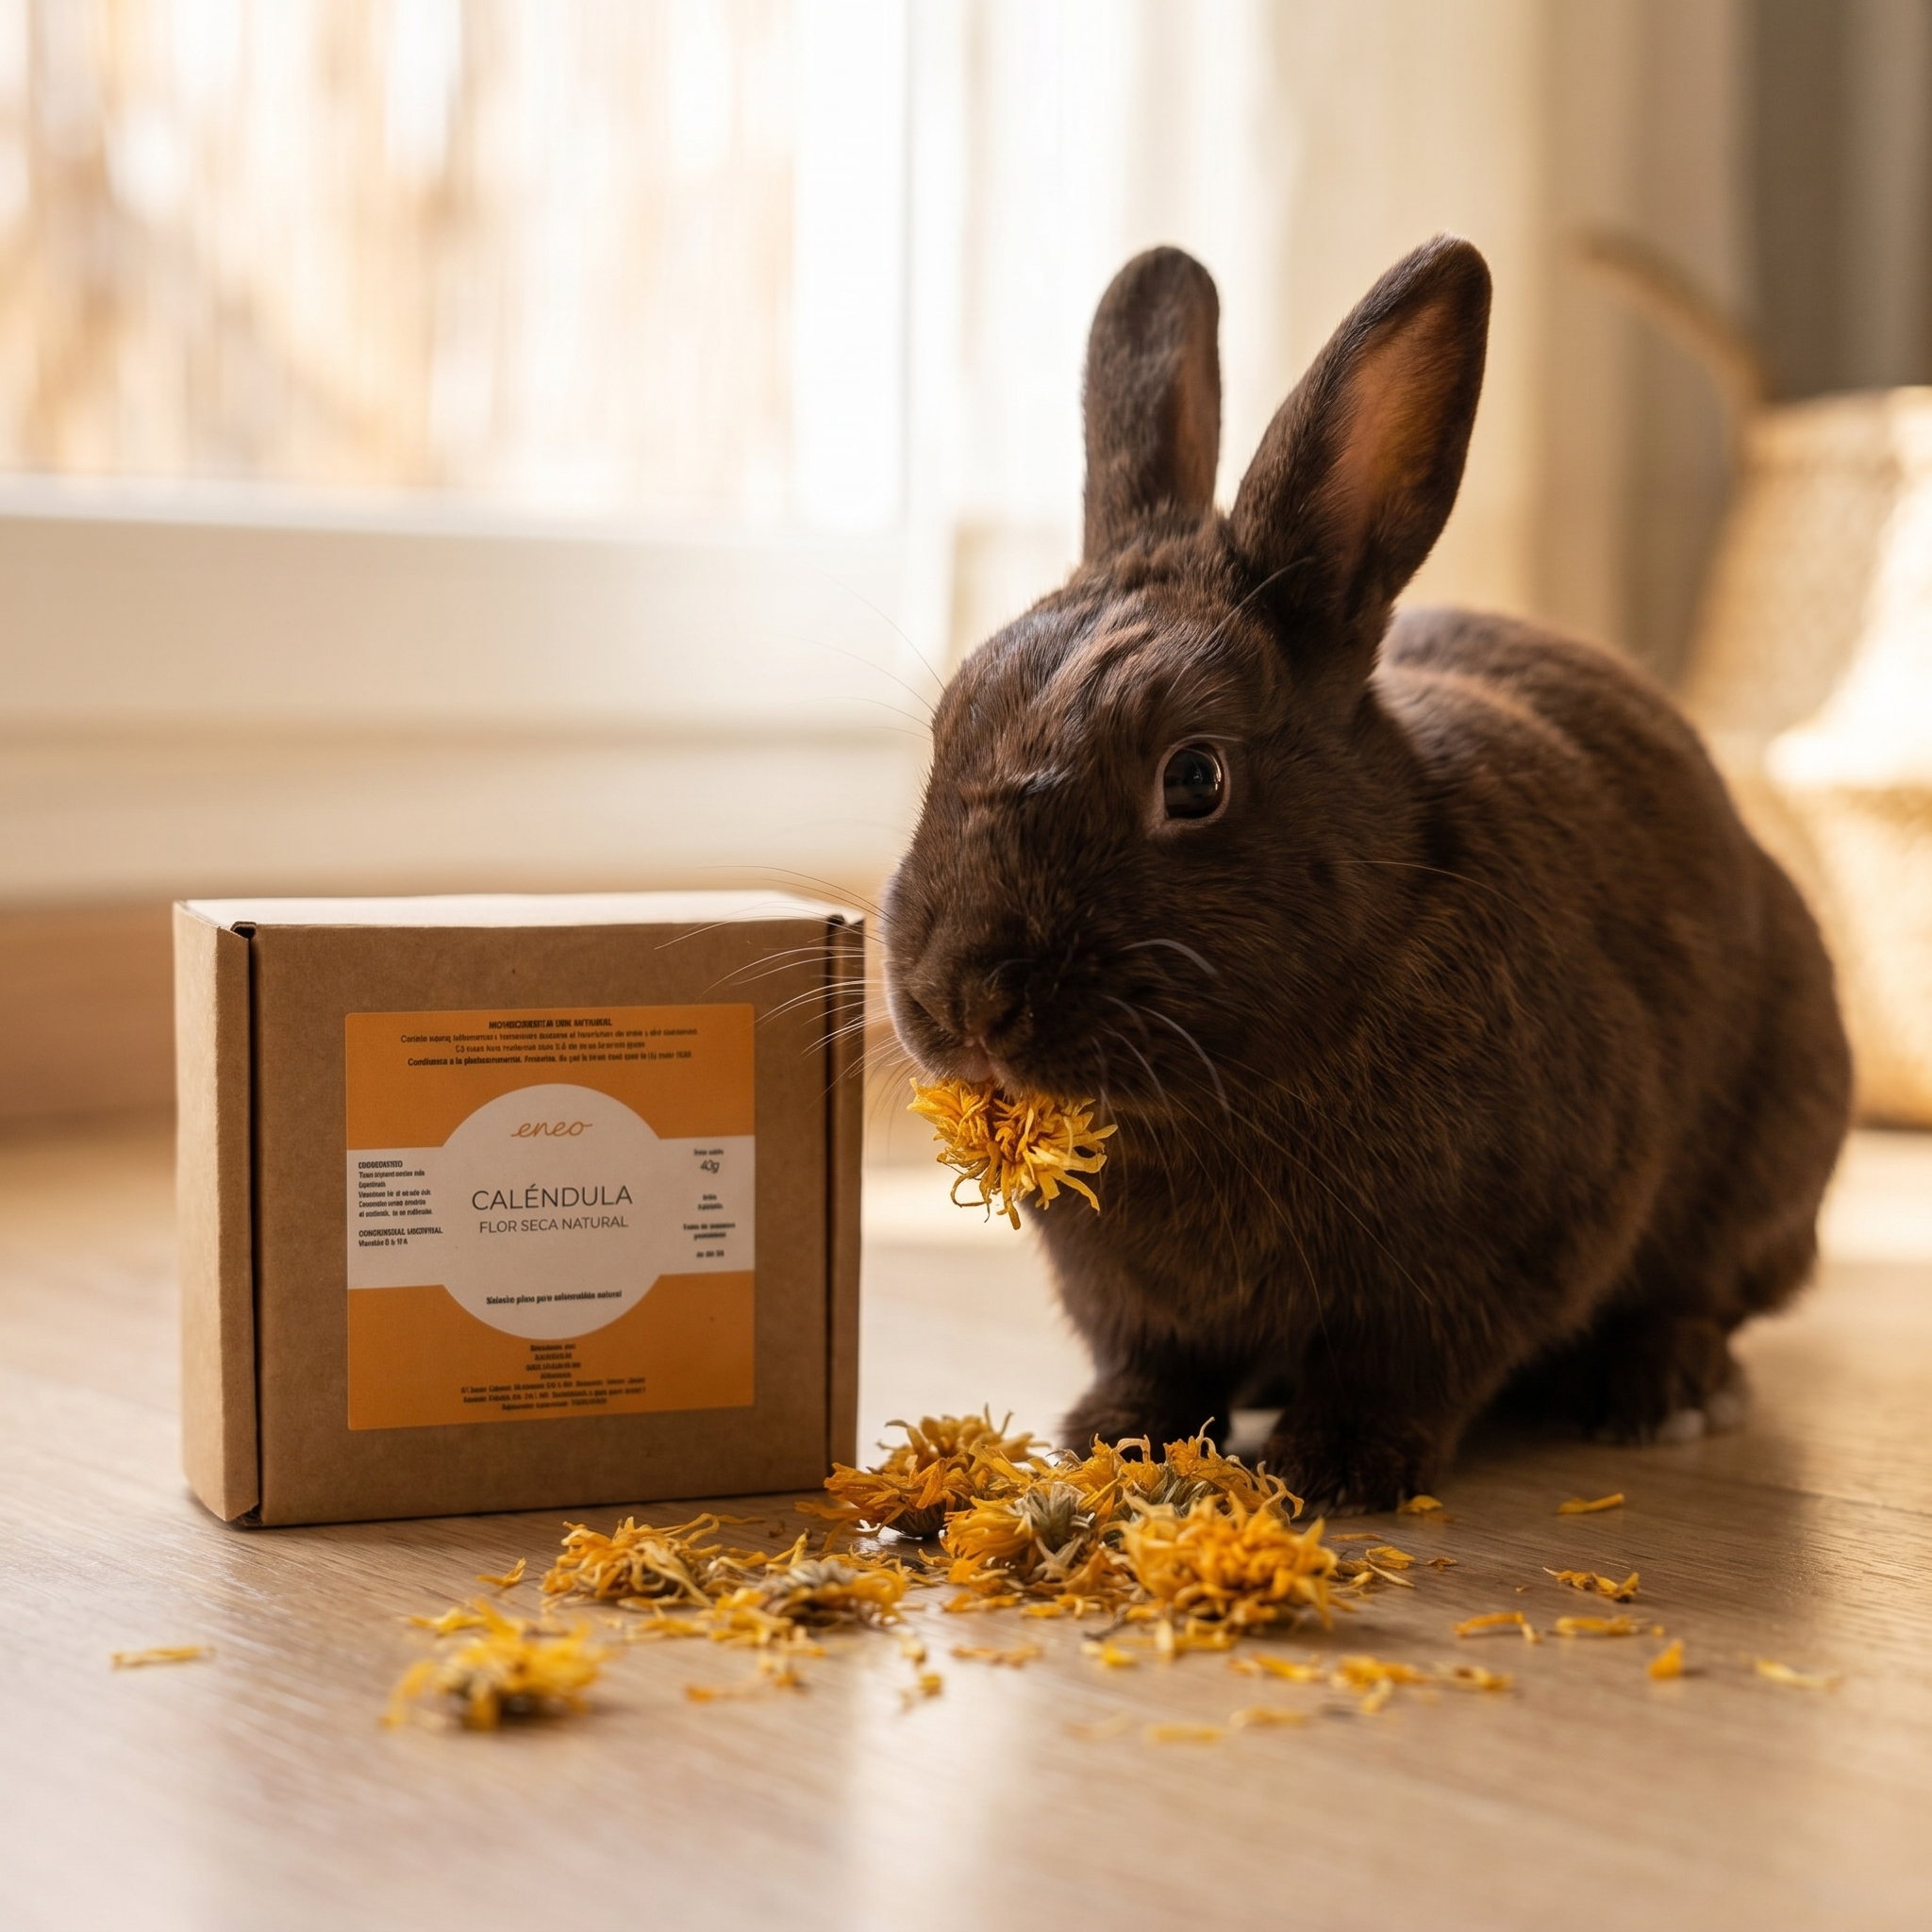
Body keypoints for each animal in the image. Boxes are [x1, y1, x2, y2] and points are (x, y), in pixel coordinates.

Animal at [881, 236, 1852, 1512]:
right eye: (948, 725)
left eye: (1193, 778)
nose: (965, 1000)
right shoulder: (1128, 1302)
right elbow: (1153, 1359)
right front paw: (1114, 1438)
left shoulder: (1485, 1256)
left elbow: (1402, 1362)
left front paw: (1338, 1467)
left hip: (1774, 1142)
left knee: (1707, 1293)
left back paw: (1660, 1389)